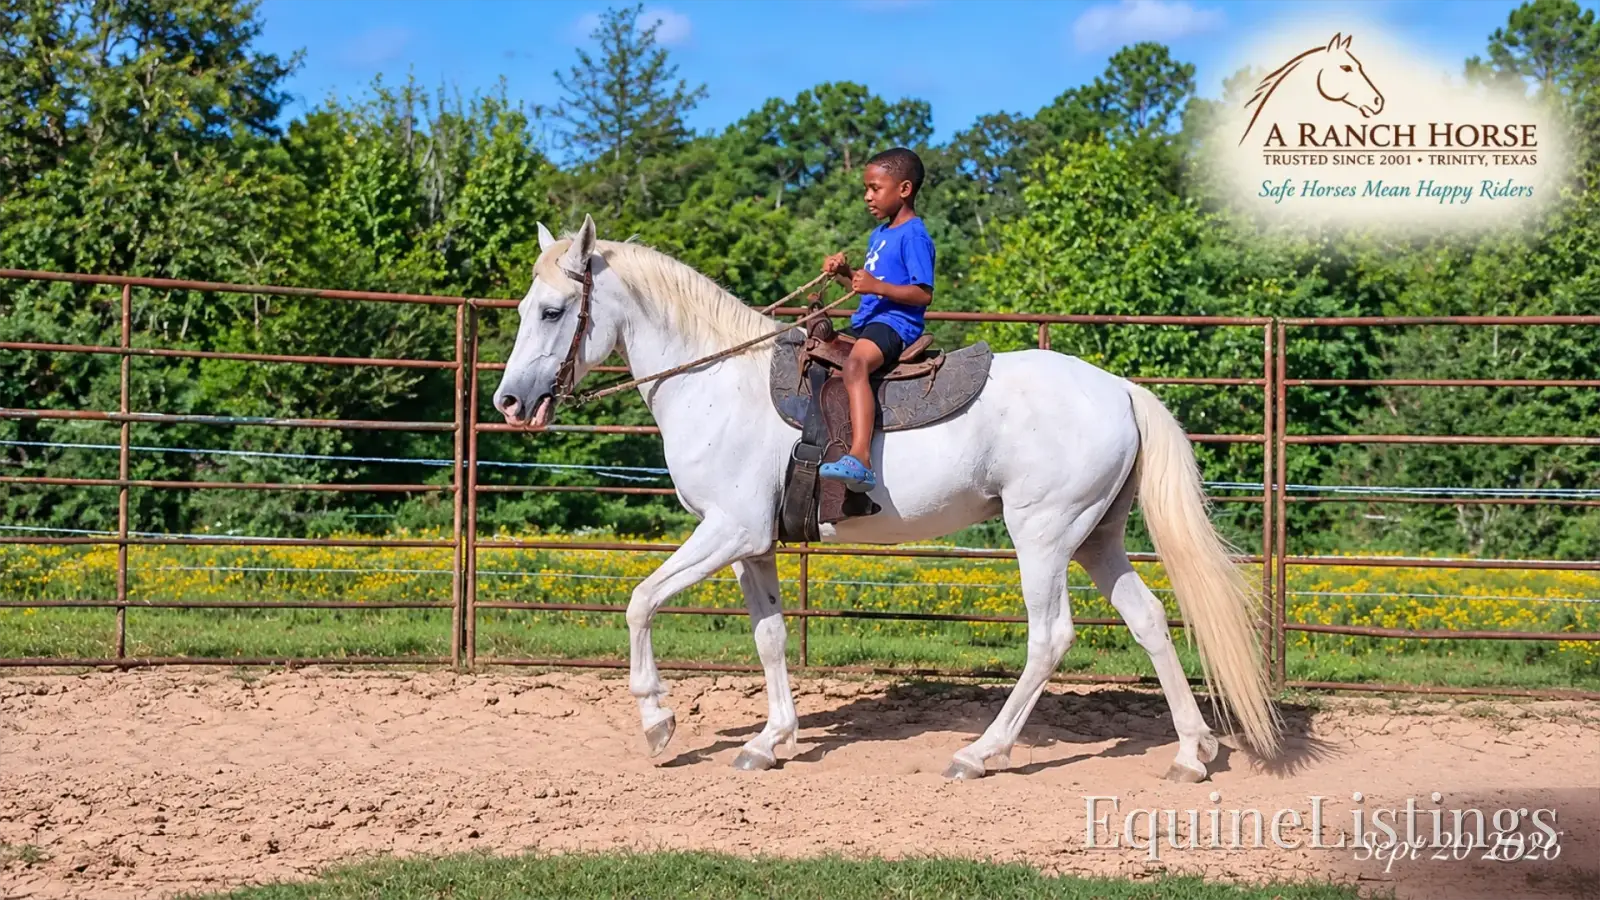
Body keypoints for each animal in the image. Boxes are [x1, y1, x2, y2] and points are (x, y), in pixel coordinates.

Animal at [493, 215, 1280, 781]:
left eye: (554, 311)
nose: (508, 402)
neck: (716, 382)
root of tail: (1119, 388)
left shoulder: (727, 532)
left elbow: (640, 601)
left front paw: (658, 722)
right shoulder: (753, 545)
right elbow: (769, 636)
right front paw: (769, 741)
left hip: (1044, 536)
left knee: (1050, 637)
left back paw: (980, 754)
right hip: (1096, 537)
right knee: (1149, 622)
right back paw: (1191, 753)